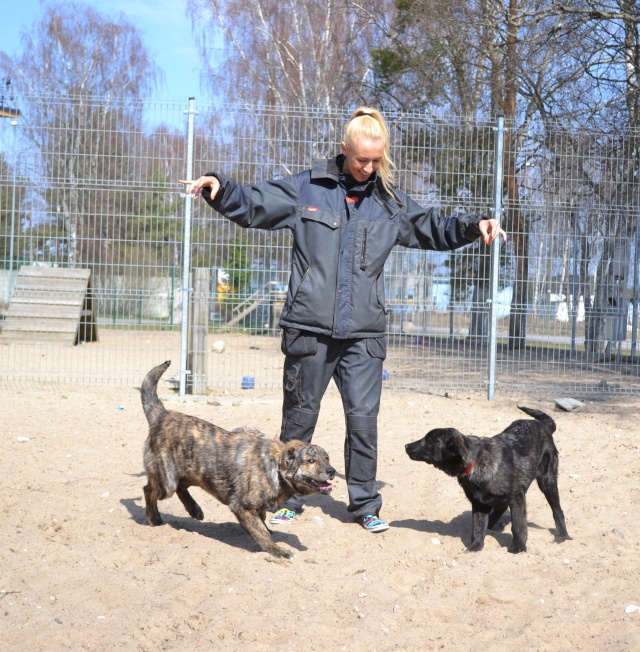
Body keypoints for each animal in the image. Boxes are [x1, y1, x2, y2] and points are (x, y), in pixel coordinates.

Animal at [140, 361, 335, 559]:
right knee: (148, 490)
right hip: (167, 482)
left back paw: (194, 509)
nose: (332, 471)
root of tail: (162, 415)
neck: (275, 468)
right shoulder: (242, 507)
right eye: (310, 461)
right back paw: (153, 518)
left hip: (192, 474)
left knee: (181, 487)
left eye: (327, 458)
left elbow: (261, 521)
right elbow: (260, 531)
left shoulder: (258, 507)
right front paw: (276, 550)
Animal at [405, 406, 571, 553]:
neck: (476, 462)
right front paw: (475, 547)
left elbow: (518, 525)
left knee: (558, 510)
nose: (406, 446)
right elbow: (477, 529)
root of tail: (543, 425)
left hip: (547, 482)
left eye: (428, 442)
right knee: (499, 508)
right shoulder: (479, 504)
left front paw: (518, 547)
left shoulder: (517, 497)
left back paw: (562, 536)